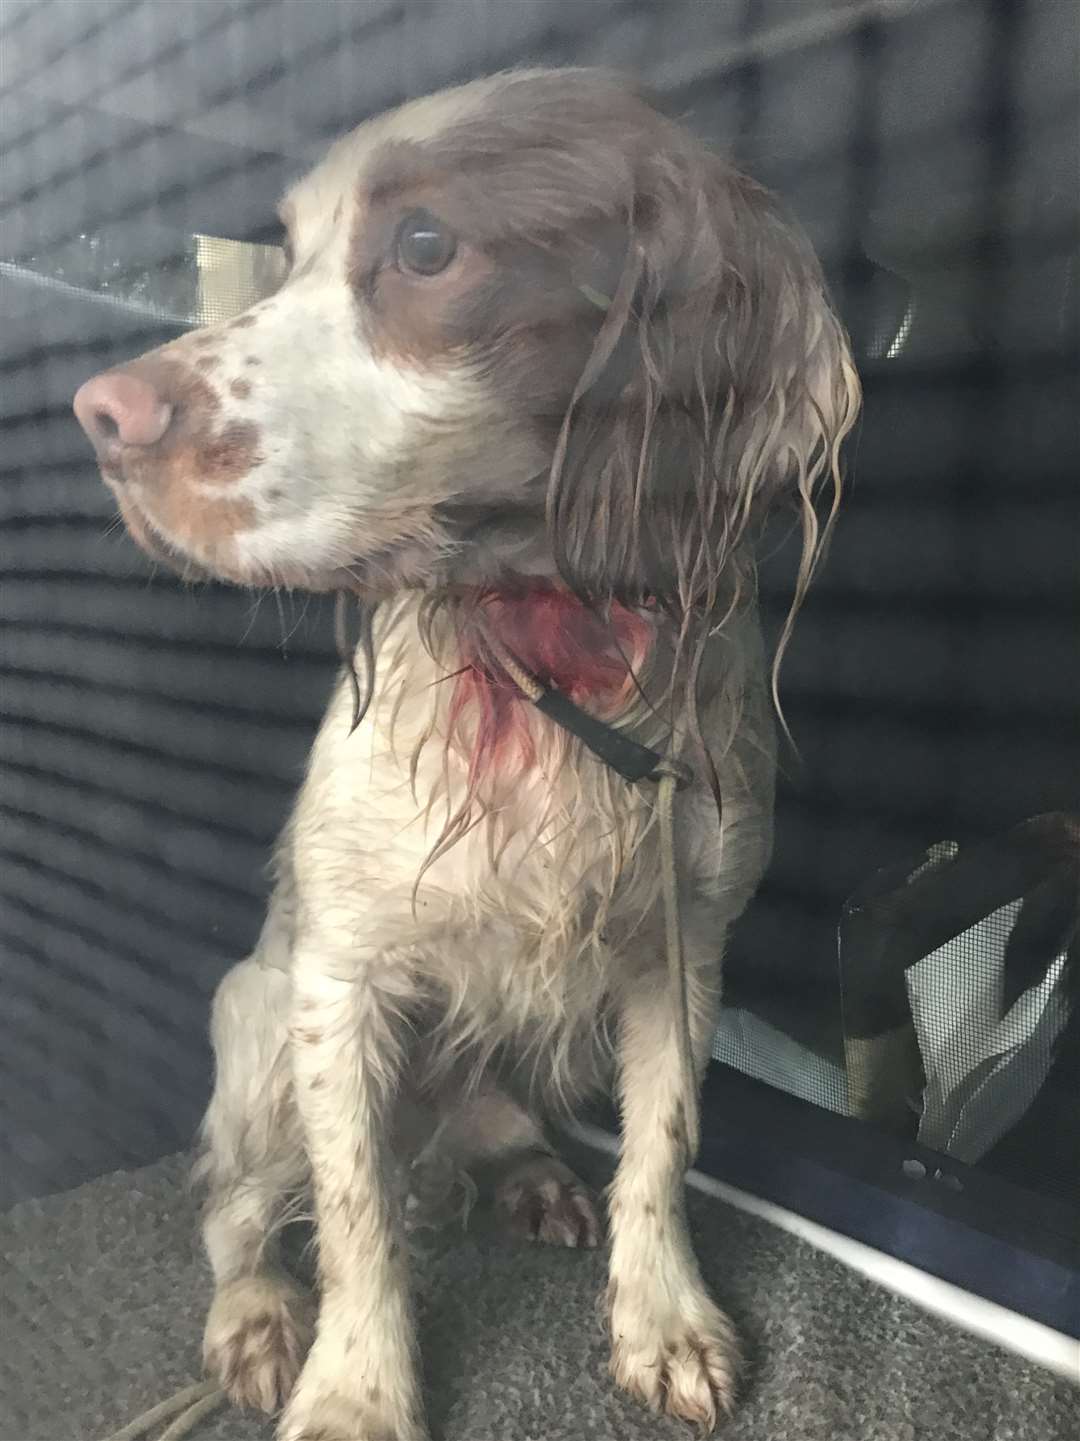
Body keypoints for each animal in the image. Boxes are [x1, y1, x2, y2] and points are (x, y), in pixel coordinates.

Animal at [73, 67, 859, 1441]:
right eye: (287, 251)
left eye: (427, 246)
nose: (101, 416)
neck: (544, 648)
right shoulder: (340, 981)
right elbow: (355, 1219)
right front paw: (355, 1388)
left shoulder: (681, 945)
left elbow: (665, 1145)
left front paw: (662, 1318)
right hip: (256, 1024)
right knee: (237, 1210)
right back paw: (258, 1314)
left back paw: (531, 1177)